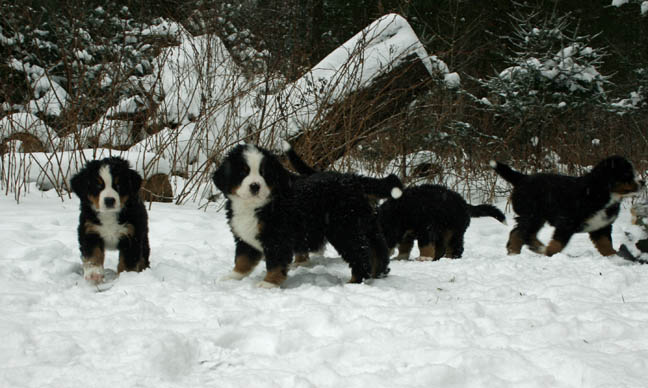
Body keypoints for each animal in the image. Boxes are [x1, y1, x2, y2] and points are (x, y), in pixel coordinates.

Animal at [70, 156, 150, 284]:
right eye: (98, 185)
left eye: (119, 185)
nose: (109, 200)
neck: (109, 215)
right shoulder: (89, 231)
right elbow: (93, 255)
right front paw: (94, 274)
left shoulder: (132, 235)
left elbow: (128, 261)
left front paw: (126, 277)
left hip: (144, 237)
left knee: (143, 256)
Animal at [213, 143, 398, 288]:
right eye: (242, 172)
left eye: (264, 173)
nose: (255, 186)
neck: (255, 206)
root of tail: (352, 179)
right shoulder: (245, 237)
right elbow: (242, 259)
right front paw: (232, 277)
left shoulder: (277, 237)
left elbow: (275, 263)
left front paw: (268, 283)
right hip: (365, 223)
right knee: (378, 249)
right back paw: (378, 273)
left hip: (344, 228)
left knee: (360, 255)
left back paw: (355, 283)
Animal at [378, 184, 508, 260]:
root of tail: (464, 204)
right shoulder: (406, 232)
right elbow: (405, 246)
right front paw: (400, 257)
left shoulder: (426, 227)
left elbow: (424, 245)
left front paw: (424, 258)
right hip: (443, 230)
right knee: (442, 247)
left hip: (453, 230)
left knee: (454, 246)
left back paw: (449, 258)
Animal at [492, 155, 644, 258]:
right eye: (627, 174)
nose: (642, 182)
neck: (603, 193)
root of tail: (523, 178)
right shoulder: (566, 222)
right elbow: (557, 244)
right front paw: (549, 253)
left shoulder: (601, 226)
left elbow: (606, 244)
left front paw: (615, 257)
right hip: (532, 214)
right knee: (521, 233)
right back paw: (527, 250)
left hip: (536, 216)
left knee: (521, 232)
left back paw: (525, 250)